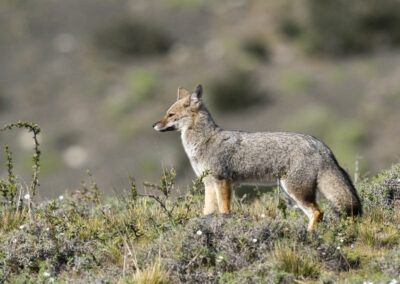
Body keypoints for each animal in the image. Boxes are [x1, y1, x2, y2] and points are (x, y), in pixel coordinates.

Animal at [152, 84, 362, 231]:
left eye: (170, 114)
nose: (154, 125)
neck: (204, 140)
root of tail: (321, 145)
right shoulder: (209, 183)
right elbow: (208, 211)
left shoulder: (222, 180)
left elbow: (224, 210)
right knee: (317, 213)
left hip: (294, 191)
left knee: (318, 212)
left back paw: (308, 235)